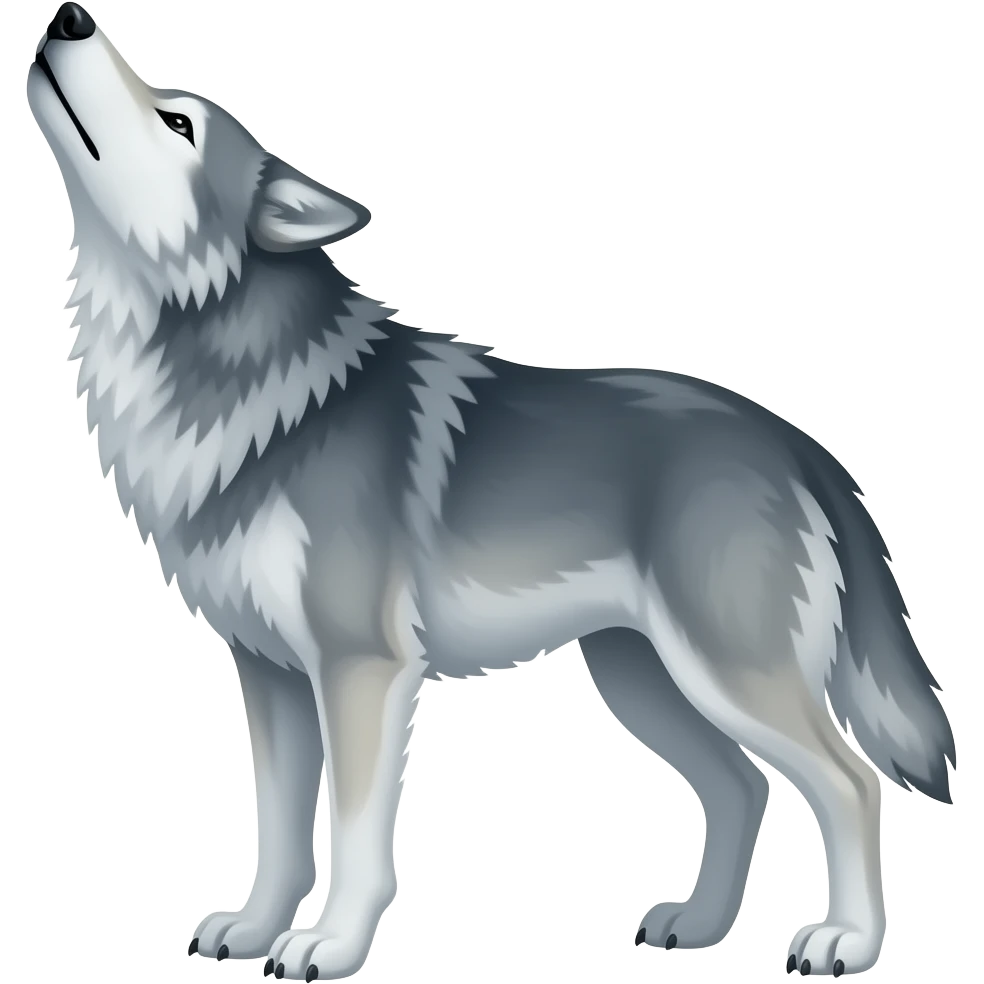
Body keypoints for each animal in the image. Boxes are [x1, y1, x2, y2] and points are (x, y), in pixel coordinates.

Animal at [27, 3, 957, 981]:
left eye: (178, 123)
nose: (70, 17)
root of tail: (798, 442)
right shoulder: (271, 676)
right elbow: (278, 830)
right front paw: (254, 928)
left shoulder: (362, 669)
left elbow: (356, 836)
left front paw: (330, 943)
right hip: (642, 680)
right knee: (744, 784)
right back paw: (701, 924)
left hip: (726, 676)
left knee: (851, 783)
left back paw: (847, 940)